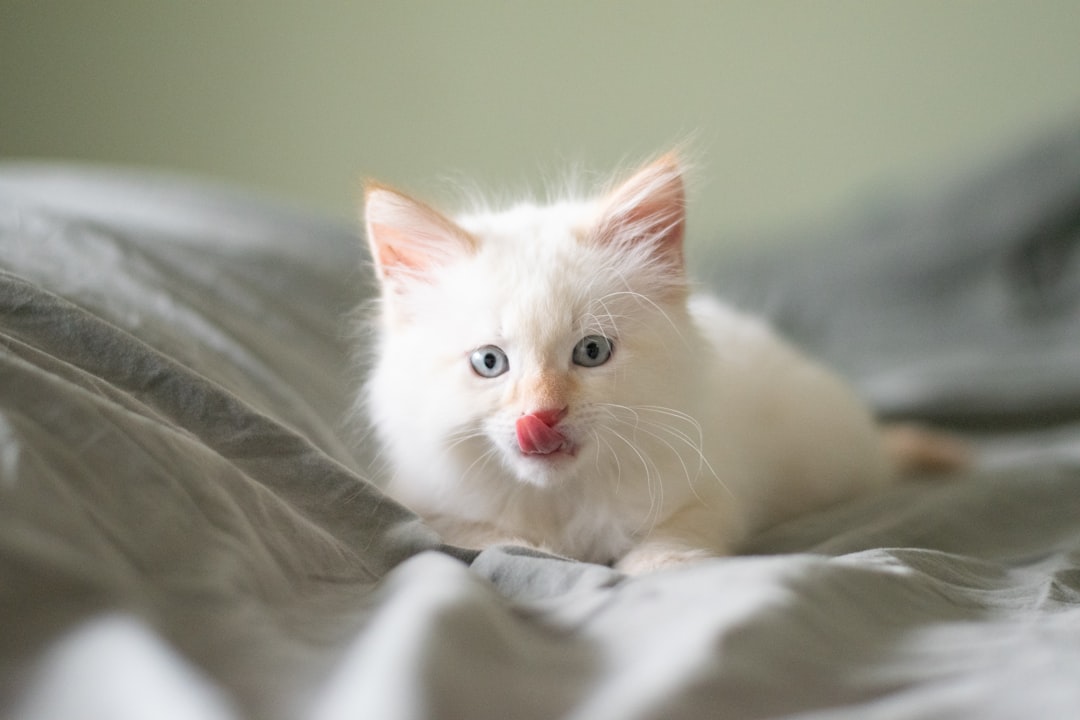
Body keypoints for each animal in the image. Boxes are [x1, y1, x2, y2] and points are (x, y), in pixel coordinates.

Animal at [360, 153, 963, 574]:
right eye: (490, 362)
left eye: (592, 352)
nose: (543, 417)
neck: (564, 497)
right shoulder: (428, 499)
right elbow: (486, 539)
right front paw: (534, 548)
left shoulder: (710, 488)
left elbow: (675, 540)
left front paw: (652, 568)